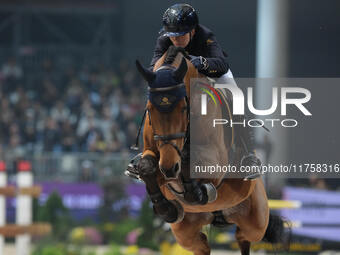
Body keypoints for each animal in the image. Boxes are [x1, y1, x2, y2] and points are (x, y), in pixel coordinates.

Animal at [134, 46, 286, 255]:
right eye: (149, 108)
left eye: (183, 108)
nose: (169, 168)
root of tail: (219, 217)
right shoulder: (155, 154)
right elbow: (146, 168)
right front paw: (166, 208)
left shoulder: (215, 164)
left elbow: (196, 171)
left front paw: (198, 189)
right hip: (185, 233)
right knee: (203, 246)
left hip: (256, 220)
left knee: (244, 237)